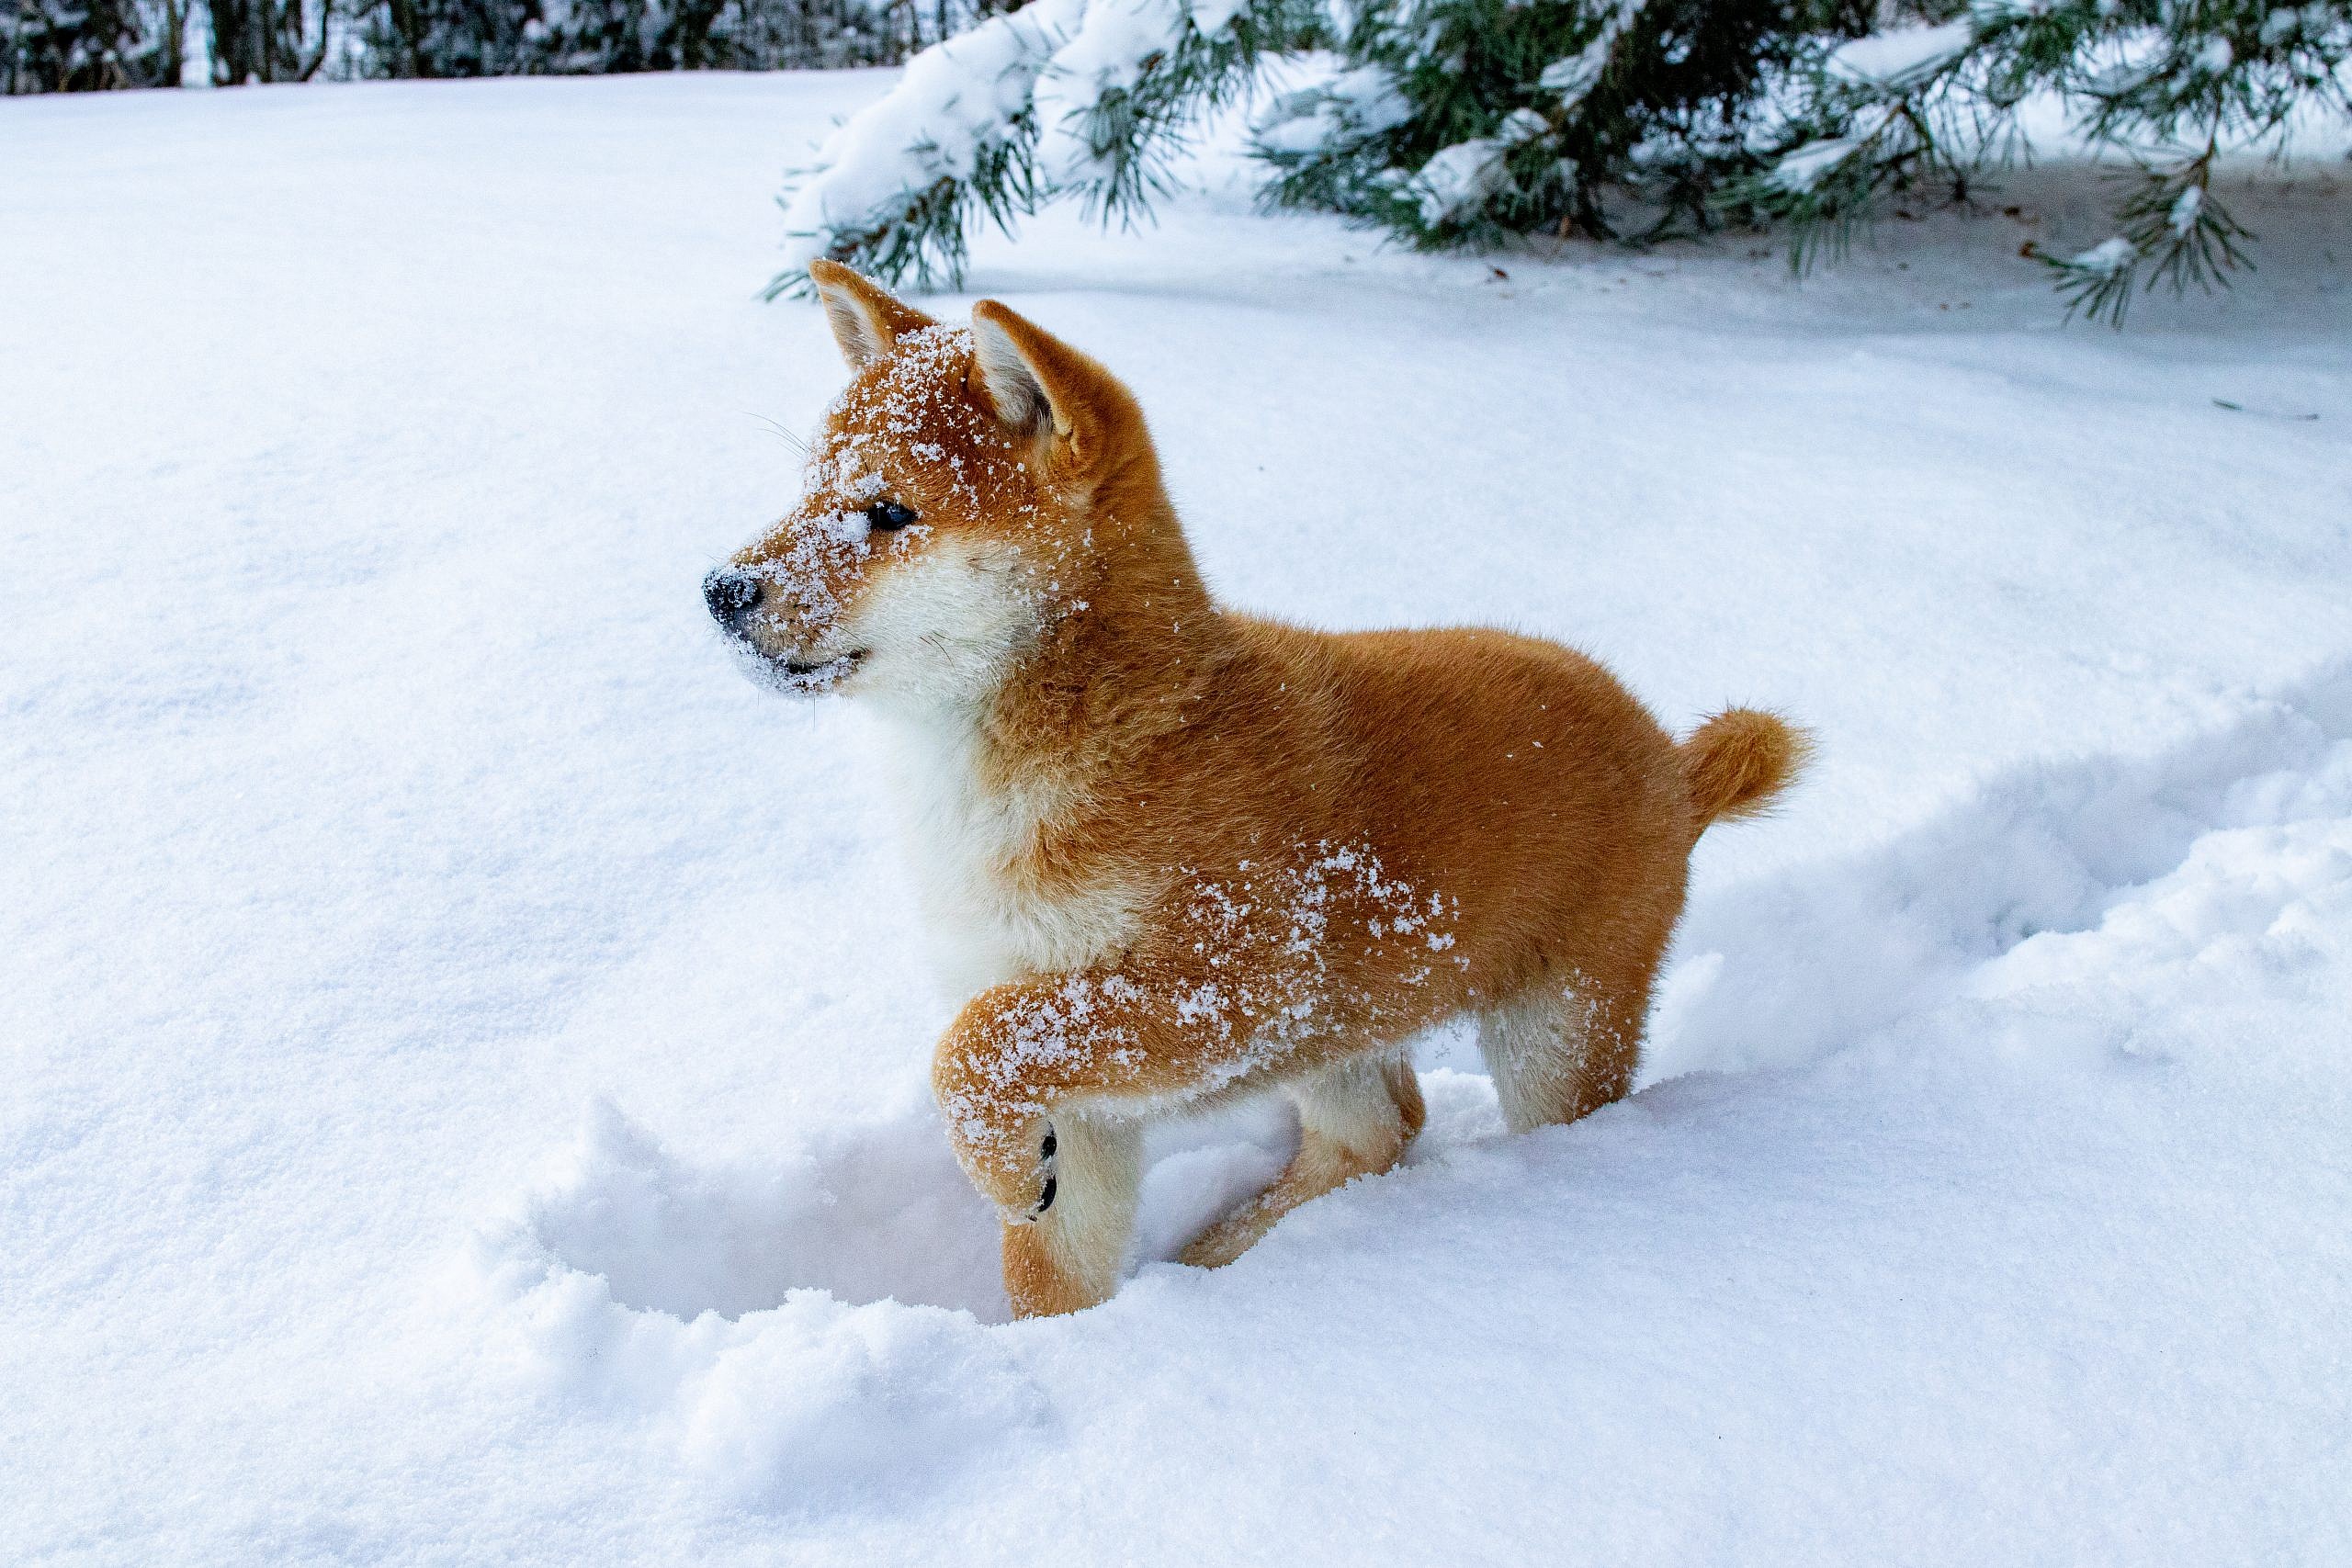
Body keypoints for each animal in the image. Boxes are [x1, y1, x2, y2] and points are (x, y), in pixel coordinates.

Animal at [706, 263, 1806, 1316]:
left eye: (888, 511)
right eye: (808, 490)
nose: (720, 590)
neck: (1101, 736)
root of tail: (1673, 764)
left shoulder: (1230, 987)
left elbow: (973, 1048)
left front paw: (1000, 1172)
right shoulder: (1086, 1090)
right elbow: (1050, 1273)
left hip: (1551, 1027)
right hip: (1342, 1036)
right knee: (1380, 1129)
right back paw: (1228, 1252)